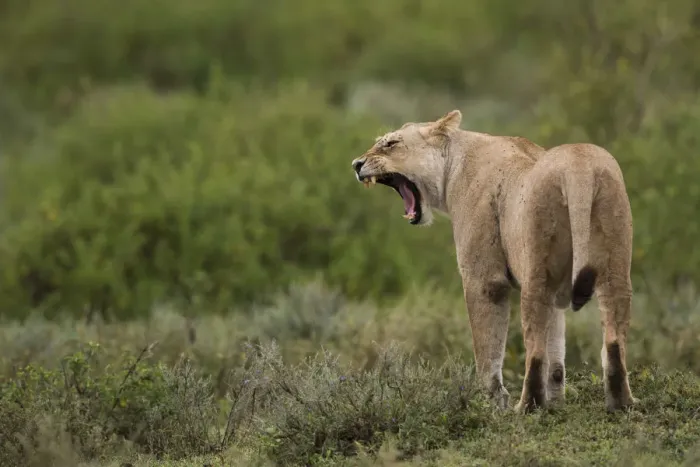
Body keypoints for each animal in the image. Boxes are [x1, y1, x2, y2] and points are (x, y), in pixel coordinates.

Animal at [351, 110, 637, 413]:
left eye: (390, 143)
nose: (356, 164)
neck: (453, 163)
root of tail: (578, 165)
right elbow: (557, 351)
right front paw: (556, 402)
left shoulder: (484, 280)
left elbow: (487, 347)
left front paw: (491, 401)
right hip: (615, 267)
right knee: (614, 338)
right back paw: (621, 403)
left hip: (537, 270)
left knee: (535, 350)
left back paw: (527, 407)